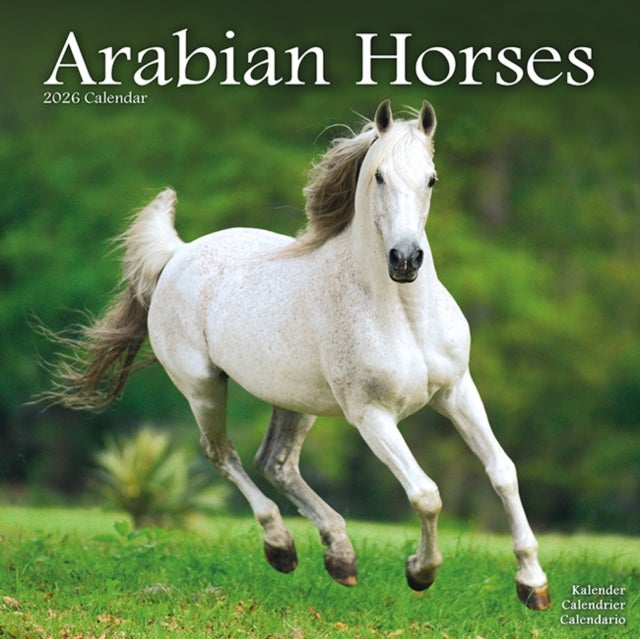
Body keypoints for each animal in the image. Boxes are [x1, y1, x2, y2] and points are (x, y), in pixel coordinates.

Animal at [45, 100, 550, 610]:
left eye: (431, 179)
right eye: (380, 177)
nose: (405, 260)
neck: (403, 316)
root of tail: (179, 253)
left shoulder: (457, 391)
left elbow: (502, 472)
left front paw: (532, 583)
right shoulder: (371, 416)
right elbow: (426, 494)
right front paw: (420, 572)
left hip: (294, 400)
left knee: (276, 462)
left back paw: (340, 557)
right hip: (203, 388)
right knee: (222, 454)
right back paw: (282, 547)